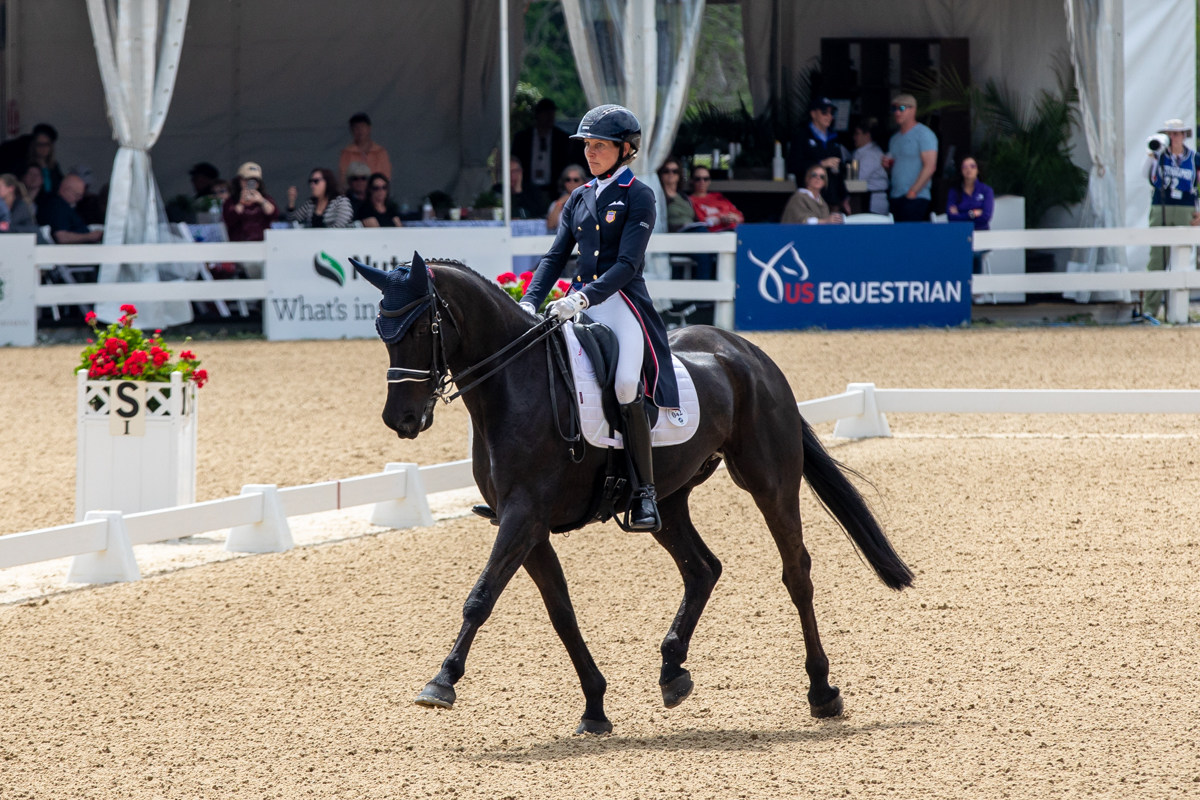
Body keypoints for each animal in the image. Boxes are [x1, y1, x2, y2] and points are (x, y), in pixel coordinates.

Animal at [360, 257, 912, 738]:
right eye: (382, 331)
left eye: (420, 329)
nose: (400, 420)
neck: (516, 385)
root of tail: (746, 352)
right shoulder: (525, 525)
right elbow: (561, 613)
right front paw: (595, 707)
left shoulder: (524, 517)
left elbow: (481, 597)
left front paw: (441, 681)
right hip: (667, 500)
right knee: (702, 568)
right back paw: (673, 672)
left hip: (769, 481)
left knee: (795, 570)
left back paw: (822, 691)